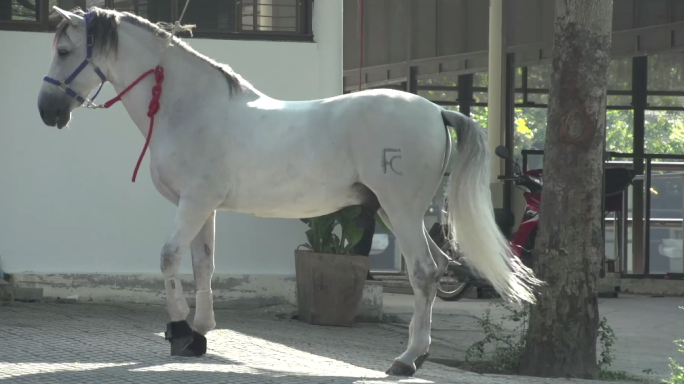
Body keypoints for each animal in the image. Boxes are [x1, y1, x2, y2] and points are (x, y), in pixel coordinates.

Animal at [36, 6, 540, 376]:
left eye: (63, 49)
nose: (47, 111)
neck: (191, 107)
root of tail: (437, 111)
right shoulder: (204, 208)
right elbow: (203, 266)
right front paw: (200, 333)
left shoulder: (192, 204)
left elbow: (167, 258)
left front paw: (179, 331)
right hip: (401, 213)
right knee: (435, 270)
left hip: (401, 211)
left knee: (425, 273)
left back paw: (407, 359)